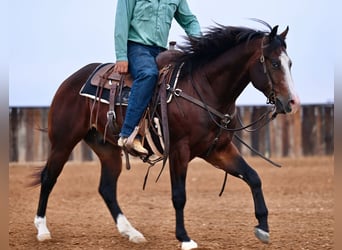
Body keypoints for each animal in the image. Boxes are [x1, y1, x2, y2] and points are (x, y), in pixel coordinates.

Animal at [32, 22, 300, 249]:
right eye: (274, 63)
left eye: (289, 63)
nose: (291, 102)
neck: (204, 89)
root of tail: (71, 80)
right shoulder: (179, 150)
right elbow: (179, 195)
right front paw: (185, 239)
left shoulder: (219, 150)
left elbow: (253, 177)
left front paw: (263, 227)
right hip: (63, 142)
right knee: (49, 178)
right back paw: (42, 229)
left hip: (107, 149)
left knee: (106, 188)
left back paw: (131, 232)